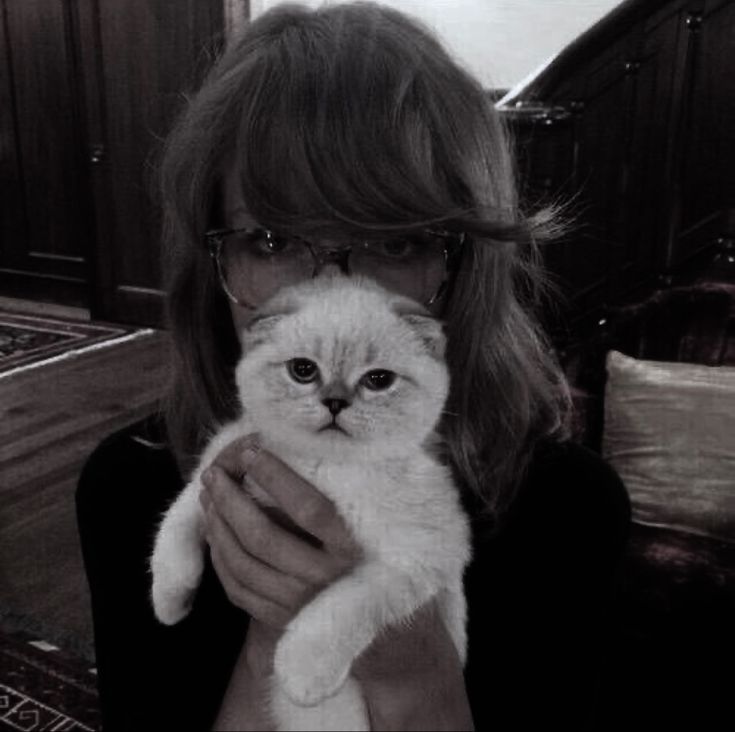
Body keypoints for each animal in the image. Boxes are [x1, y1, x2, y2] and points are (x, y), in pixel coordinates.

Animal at [150, 276, 472, 732]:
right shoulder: (218, 469)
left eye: (378, 380)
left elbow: (345, 604)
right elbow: (176, 525)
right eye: (302, 370)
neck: (320, 467)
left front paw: (301, 673)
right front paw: (171, 602)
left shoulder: (419, 556)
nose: (335, 402)